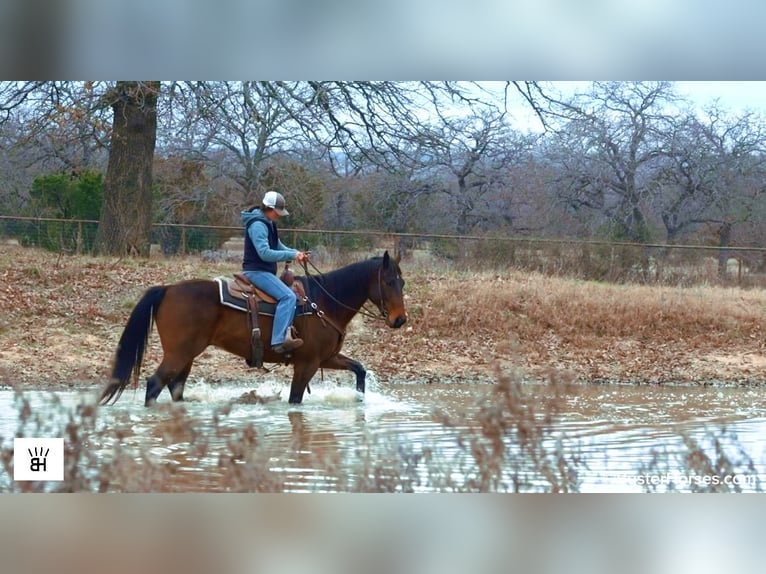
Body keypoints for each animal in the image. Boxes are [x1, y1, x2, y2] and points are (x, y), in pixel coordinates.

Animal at [98, 251, 407, 406]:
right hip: (178, 353)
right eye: (389, 281)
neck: (324, 302)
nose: (400, 320)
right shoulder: (307, 363)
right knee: (154, 384)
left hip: (186, 356)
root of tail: (168, 289)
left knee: (175, 388)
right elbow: (295, 400)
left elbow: (359, 370)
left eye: (402, 282)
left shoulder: (326, 358)